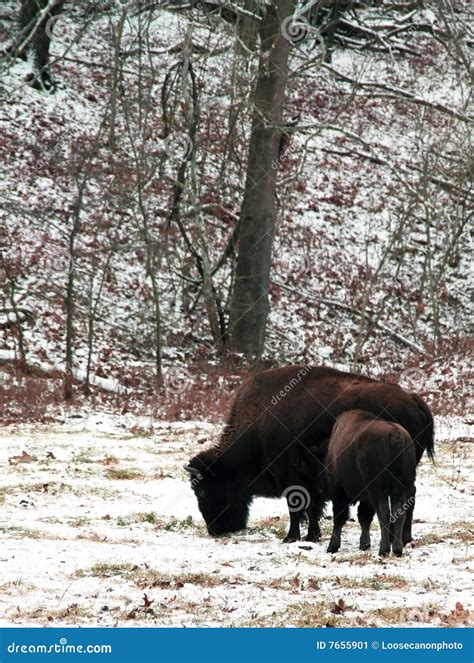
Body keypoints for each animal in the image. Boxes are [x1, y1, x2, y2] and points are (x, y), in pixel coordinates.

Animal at [326, 410, 414, 556]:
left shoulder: (338, 489)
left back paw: (384, 549)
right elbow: (364, 517)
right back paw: (397, 549)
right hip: (402, 487)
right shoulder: (366, 496)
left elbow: (340, 517)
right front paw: (364, 544)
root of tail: (396, 436)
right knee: (399, 511)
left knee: (384, 513)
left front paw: (332, 546)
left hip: (378, 489)